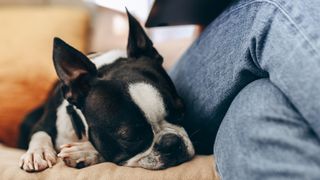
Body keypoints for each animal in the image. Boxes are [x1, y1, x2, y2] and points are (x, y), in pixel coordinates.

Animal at [19, 10, 195, 172]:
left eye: (181, 112)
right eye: (130, 137)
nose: (171, 143)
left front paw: (84, 151)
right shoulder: (44, 122)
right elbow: (40, 133)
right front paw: (38, 152)